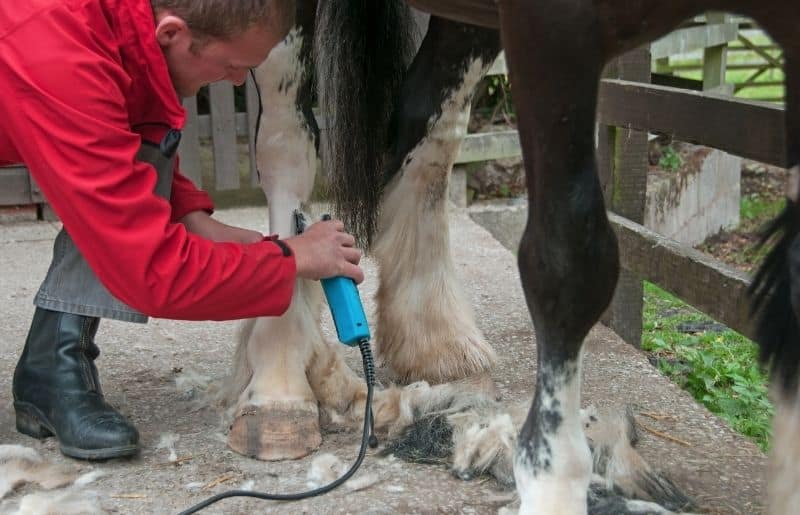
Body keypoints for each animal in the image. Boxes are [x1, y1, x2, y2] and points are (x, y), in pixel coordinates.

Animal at [225, 1, 799, 513]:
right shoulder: (554, 25)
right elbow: (570, 261)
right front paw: (555, 483)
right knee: (287, 137)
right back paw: (278, 384)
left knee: (427, 120)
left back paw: (436, 338)